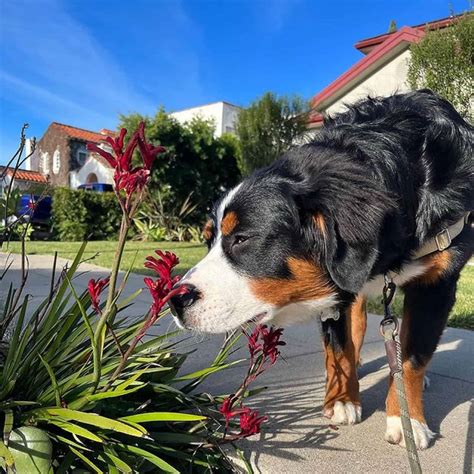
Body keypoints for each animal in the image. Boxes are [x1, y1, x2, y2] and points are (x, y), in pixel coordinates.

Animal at [168, 90, 472, 452]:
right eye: (207, 240)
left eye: (242, 239)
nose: (174, 300)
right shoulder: (340, 286)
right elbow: (338, 347)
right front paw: (341, 399)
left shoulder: (438, 283)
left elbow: (414, 357)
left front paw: (408, 419)